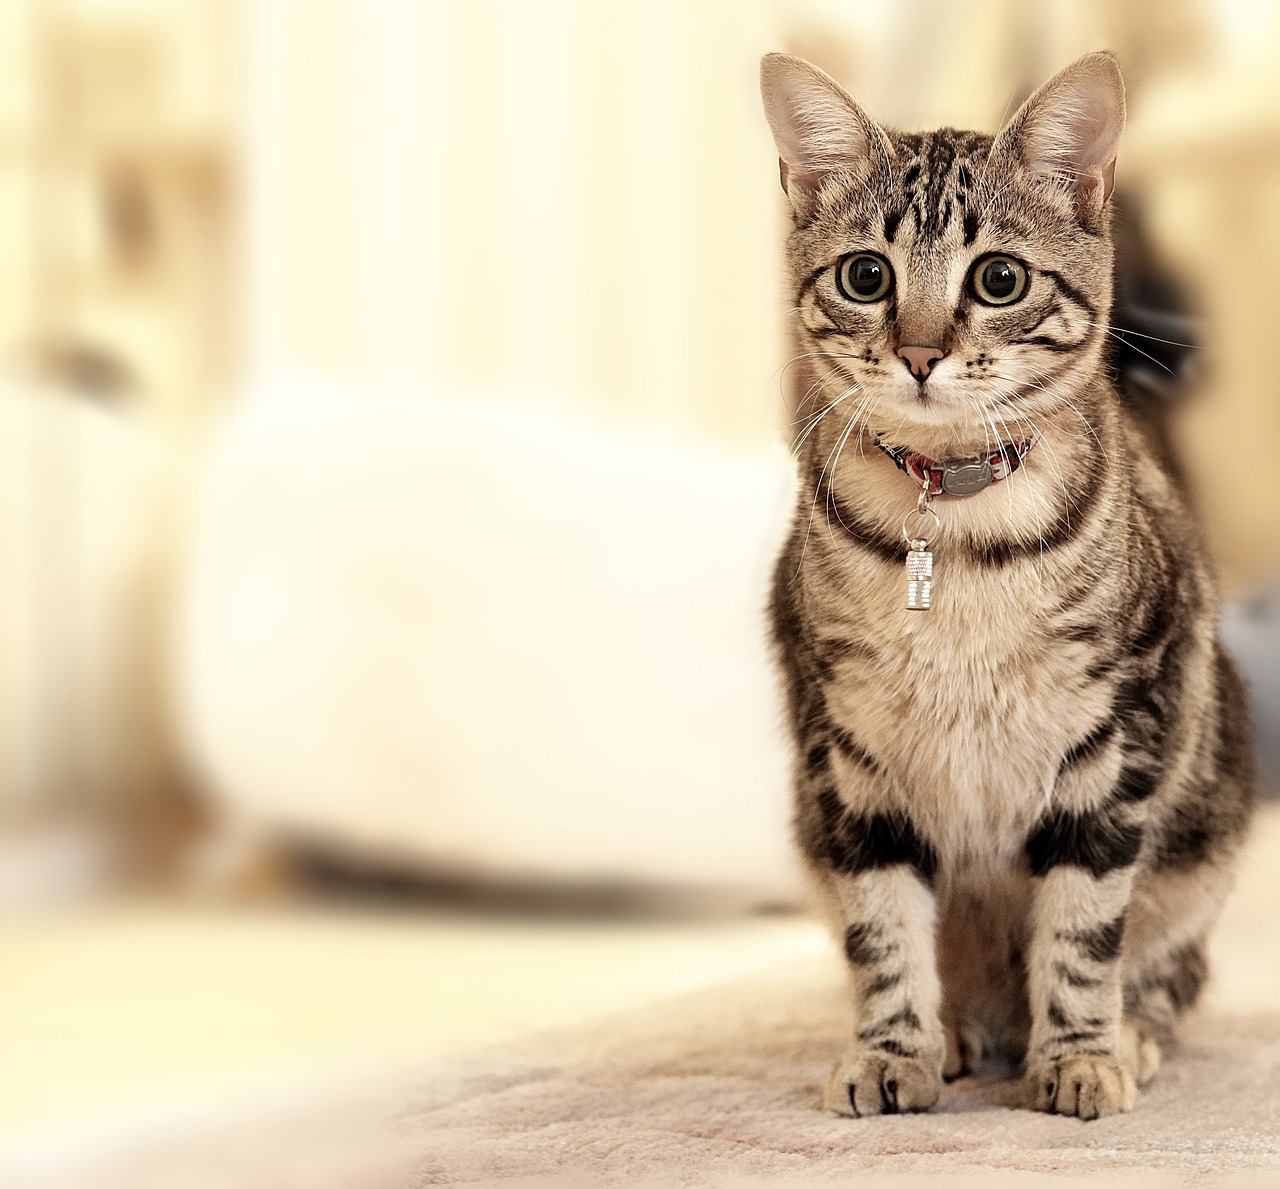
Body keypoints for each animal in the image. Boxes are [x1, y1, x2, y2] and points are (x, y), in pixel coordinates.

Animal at [757, 51, 1249, 1116]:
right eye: (866, 276)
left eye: (999, 278)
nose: (919, 352)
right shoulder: (847, 749)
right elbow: (883, 923)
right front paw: (893, 1049)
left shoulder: (1117, 735)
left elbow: (1082, 925)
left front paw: (1078, 1057)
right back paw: (954, 1034)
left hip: (1205, 831)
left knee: (1172, 968)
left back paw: (1126, 1032)